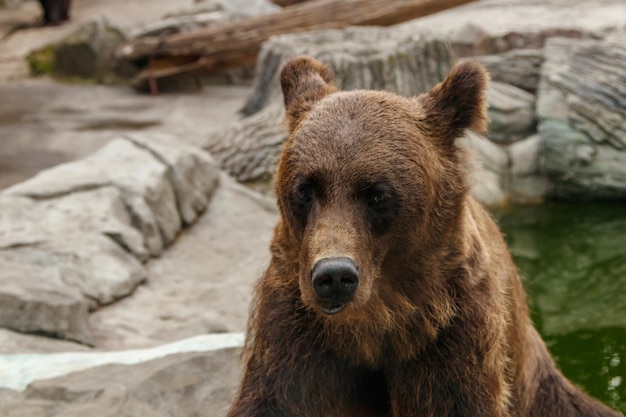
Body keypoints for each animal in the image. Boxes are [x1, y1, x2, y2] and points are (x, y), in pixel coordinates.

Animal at [224, 56, 620, 416]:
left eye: (377, 194)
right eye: (305, 189)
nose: (334, 276)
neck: (376, 324)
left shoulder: (449, 332)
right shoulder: (295, 327)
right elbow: (278, 398)